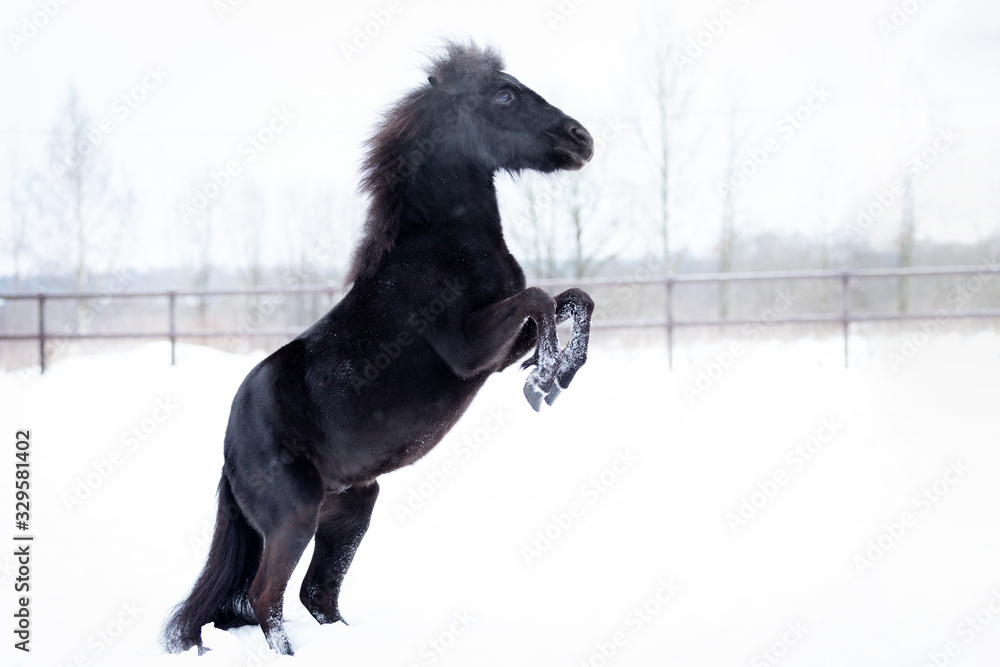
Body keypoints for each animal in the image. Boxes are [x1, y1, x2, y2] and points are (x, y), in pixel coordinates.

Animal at [163, 41, 592, 656]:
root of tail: (227, 455)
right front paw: (543, 382)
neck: (439, 245)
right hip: (294, 518)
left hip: (350, 509)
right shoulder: (470, 351)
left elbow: (573, 299)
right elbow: (539, 298)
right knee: (268, 598)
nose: (581, 138)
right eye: (505, 95)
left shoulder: (497, 350)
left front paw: (557, 373)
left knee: (316, 595)